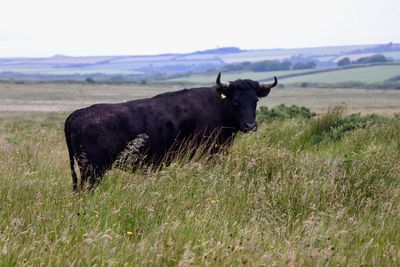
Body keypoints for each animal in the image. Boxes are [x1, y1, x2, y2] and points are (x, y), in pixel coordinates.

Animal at [65, 73, 278, 191]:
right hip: (92, 172)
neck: (217, 105)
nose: (250, 125)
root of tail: (78, 113)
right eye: (236, 101)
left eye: (255, 100)